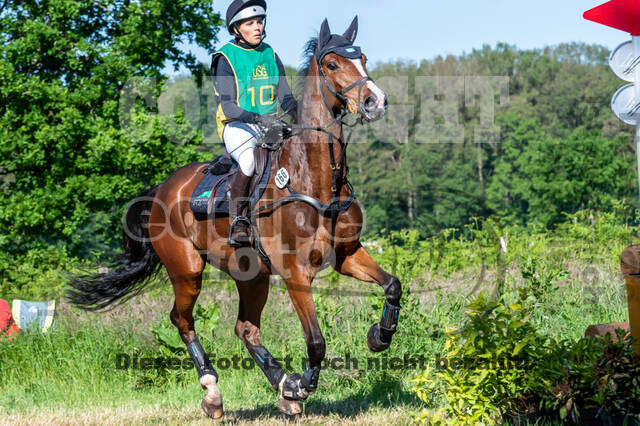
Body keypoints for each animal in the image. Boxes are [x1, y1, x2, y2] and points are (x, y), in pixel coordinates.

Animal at [68, 17, 402, 419]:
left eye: (363, 58)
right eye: (333, 64)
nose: (375, 101)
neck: (317, 181)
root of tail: (163, 188)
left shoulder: (347, 254)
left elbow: (393, 285)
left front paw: (379, 336)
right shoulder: (295, 272)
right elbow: (316, 341)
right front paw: (304, 385)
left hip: (251, 274)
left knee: (245, 328)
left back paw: (281, 385)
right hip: (187, 269)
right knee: (182, 320)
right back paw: (215, 392)